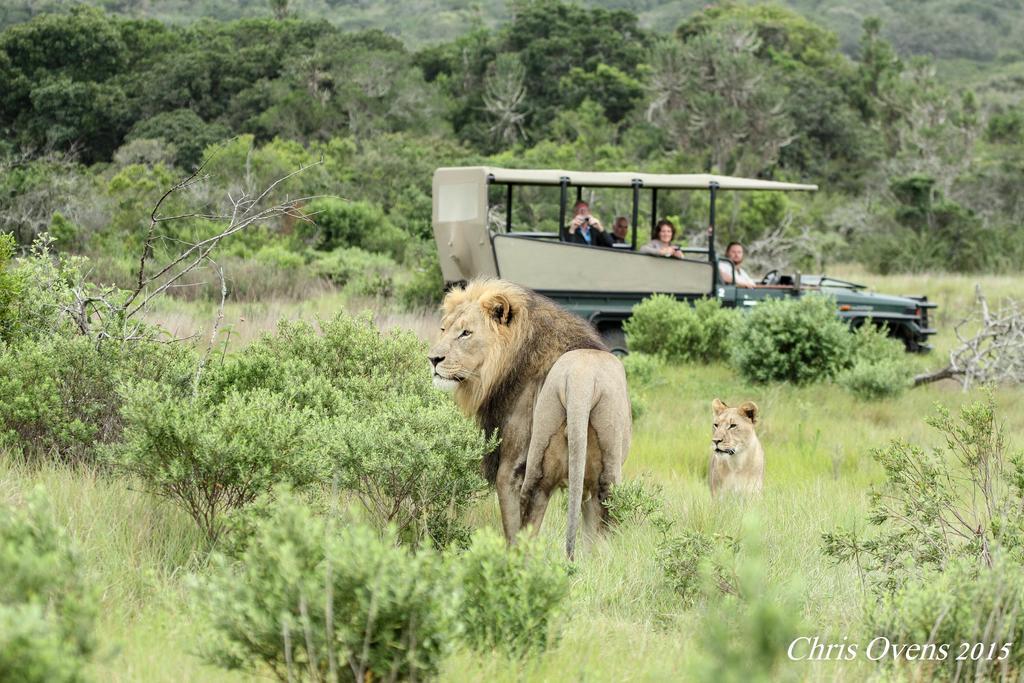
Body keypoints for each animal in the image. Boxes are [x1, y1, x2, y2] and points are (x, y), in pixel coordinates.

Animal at [428, 280, 626, 557]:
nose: (433, 359)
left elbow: (511, 528)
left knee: (528, 521)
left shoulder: (510, 467)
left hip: (538, 465)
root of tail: (582, 380)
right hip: (606, 474)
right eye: (443, 329)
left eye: (466, 333)